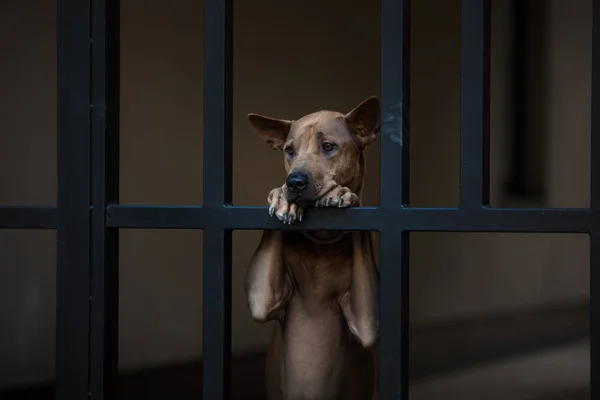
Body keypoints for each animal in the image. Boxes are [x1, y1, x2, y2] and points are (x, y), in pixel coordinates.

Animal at [244, 97, 380, 400]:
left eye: (328, 146)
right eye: (289, 151)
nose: (294, 182)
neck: (322, 243)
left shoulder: (367, 322)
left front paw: (343, 195)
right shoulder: (263, 299)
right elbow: (261, 302)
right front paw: (280, 197)